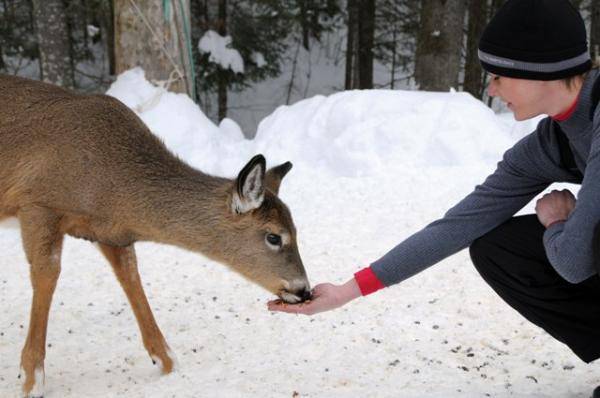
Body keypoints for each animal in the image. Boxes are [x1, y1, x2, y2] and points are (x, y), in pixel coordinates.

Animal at [0, 74, 310, 394]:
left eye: (297, 229)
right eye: (274, 237)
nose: (304, 290)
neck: (111, 185)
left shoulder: (108, 231)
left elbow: (131, 276)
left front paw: (165, 360)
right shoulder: (37, 203)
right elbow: (47, 275)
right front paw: (31, 378)